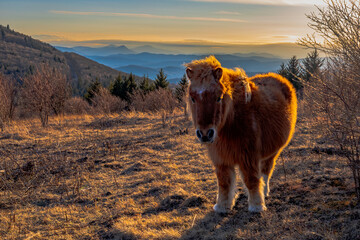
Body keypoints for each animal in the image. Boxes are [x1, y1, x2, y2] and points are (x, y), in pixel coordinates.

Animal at [184, 55, 296, 212]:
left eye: (219, 97)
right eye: (193, 98)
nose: (205, 134)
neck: (231, 121)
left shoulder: (248, 156)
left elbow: (251, 179)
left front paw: (256, 206)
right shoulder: (220, 158)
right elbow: (224, 182)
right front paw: (222, 206)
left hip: (273, 151)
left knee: (266, 170)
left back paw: (264, 192)